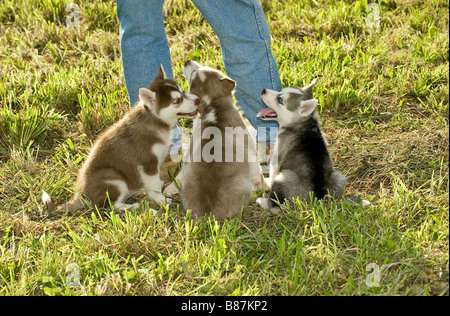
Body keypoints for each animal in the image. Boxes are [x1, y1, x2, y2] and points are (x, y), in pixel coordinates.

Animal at [43, 65, 199, 212]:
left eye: (182, 91)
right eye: (177, 101)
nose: (197, 100)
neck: (154, 120)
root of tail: (80, 196)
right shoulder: (147, 163)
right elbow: (153, 184)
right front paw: (160, 199)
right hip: (114, 179)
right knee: (110, 205)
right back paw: (131, 206)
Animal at [256, 80, 370, 214]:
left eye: (280, 100)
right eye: (280, 90)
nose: (263, 90)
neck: (304, 122)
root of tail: (317, 201)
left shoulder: (277, 159)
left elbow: (272, 173)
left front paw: (266, 182)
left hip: (284, 178)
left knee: (275, 206)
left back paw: (262, 201)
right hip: (339, 177)